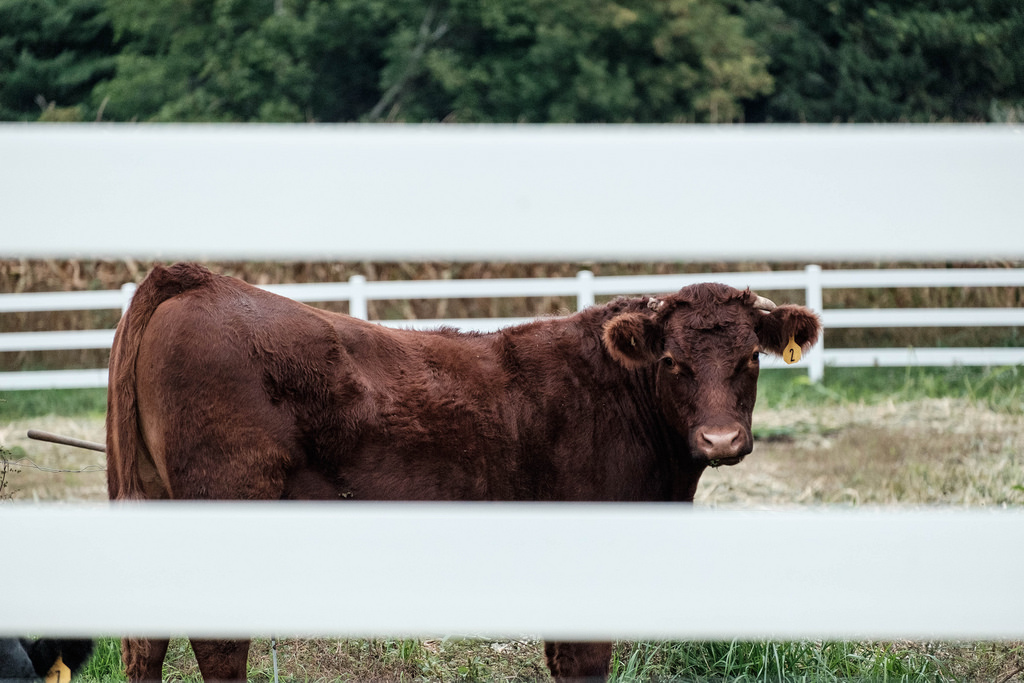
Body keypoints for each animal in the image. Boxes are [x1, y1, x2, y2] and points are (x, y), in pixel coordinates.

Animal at [105, 264, 823, 683]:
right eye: (673, 360)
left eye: (749, 358)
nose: (720, 438)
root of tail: (197, 279)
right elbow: (587, 659)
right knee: (218, 644)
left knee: (144, 643)